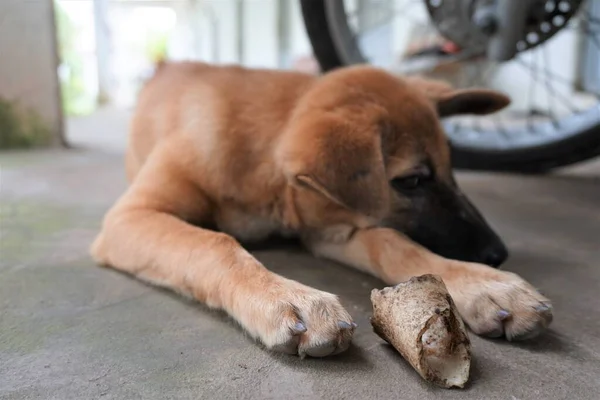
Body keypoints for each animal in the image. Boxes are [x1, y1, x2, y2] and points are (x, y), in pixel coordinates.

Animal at [92, 61, 552, 356]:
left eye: (451, 169)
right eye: (412, 180)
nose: (497, 253)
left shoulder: (328, 226)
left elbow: (394, 242)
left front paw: (484, 284)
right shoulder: (130, 217)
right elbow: (215, 243)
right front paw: (285, 296)